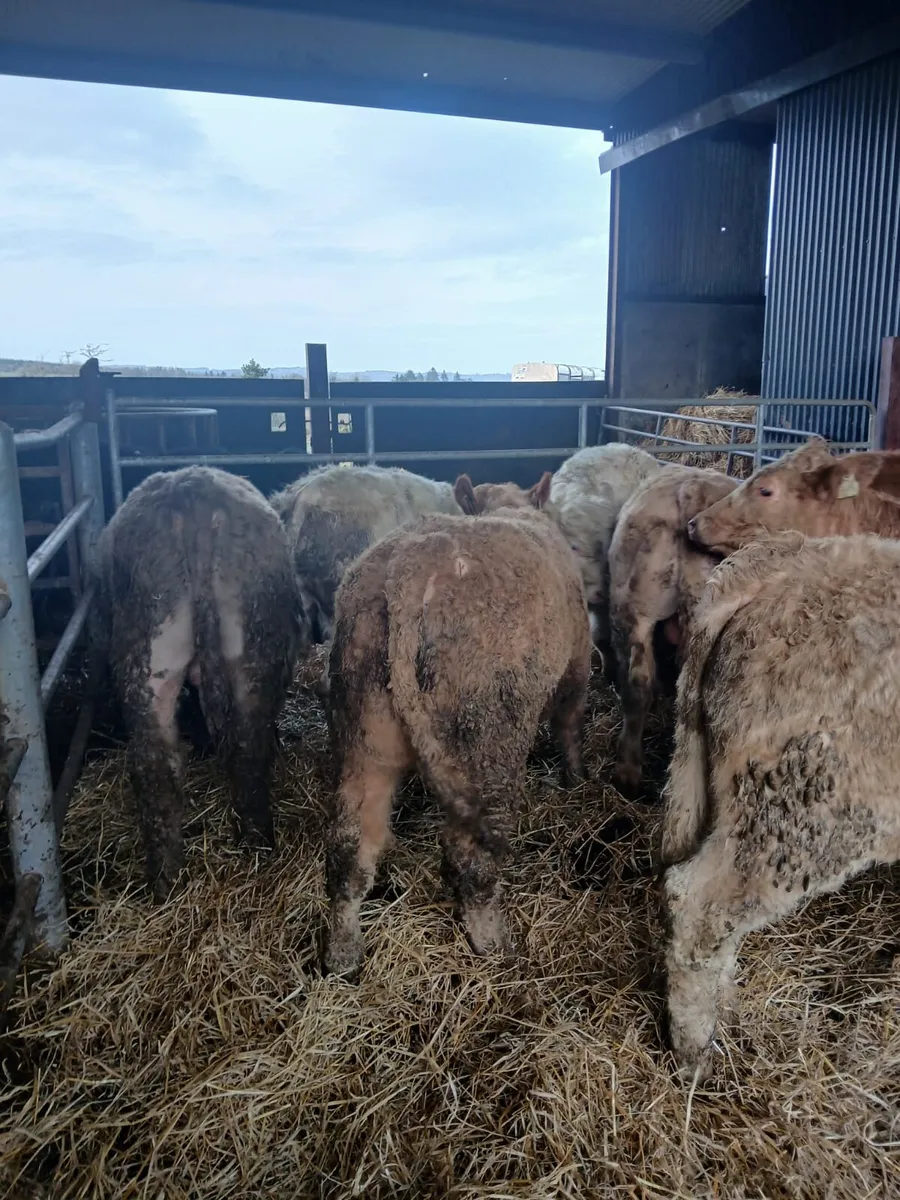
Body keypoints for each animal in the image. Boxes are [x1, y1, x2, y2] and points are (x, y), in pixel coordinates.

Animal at [323, 472, 591, 980]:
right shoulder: (577, 669)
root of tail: (411, 564)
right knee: (471, 856)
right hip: (486, 747)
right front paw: (577, 777)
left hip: (363, 735)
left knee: (351, 845)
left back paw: (342, 953)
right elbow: (570, 726)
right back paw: (495, 944)